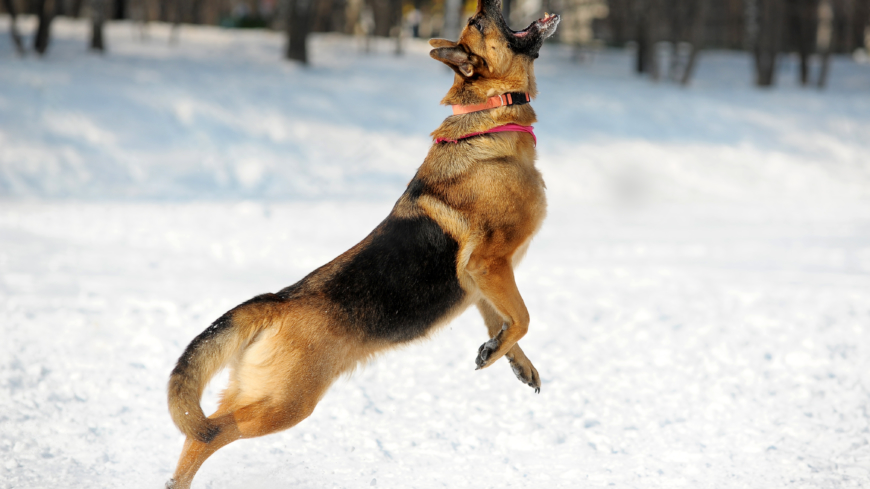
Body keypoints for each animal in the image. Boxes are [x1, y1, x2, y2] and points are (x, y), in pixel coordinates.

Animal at [165, 1, 560, 486]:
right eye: (479, 24)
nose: (483, 5)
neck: (487, 116)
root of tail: (277, 302)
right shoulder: (489, 265)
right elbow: (523, 318)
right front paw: (496, 352)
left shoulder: (482, 283)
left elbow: (504, 325)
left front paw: (511, 360)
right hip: (284, 405)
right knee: (207, 432)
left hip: (263, 394)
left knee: (204, 427)